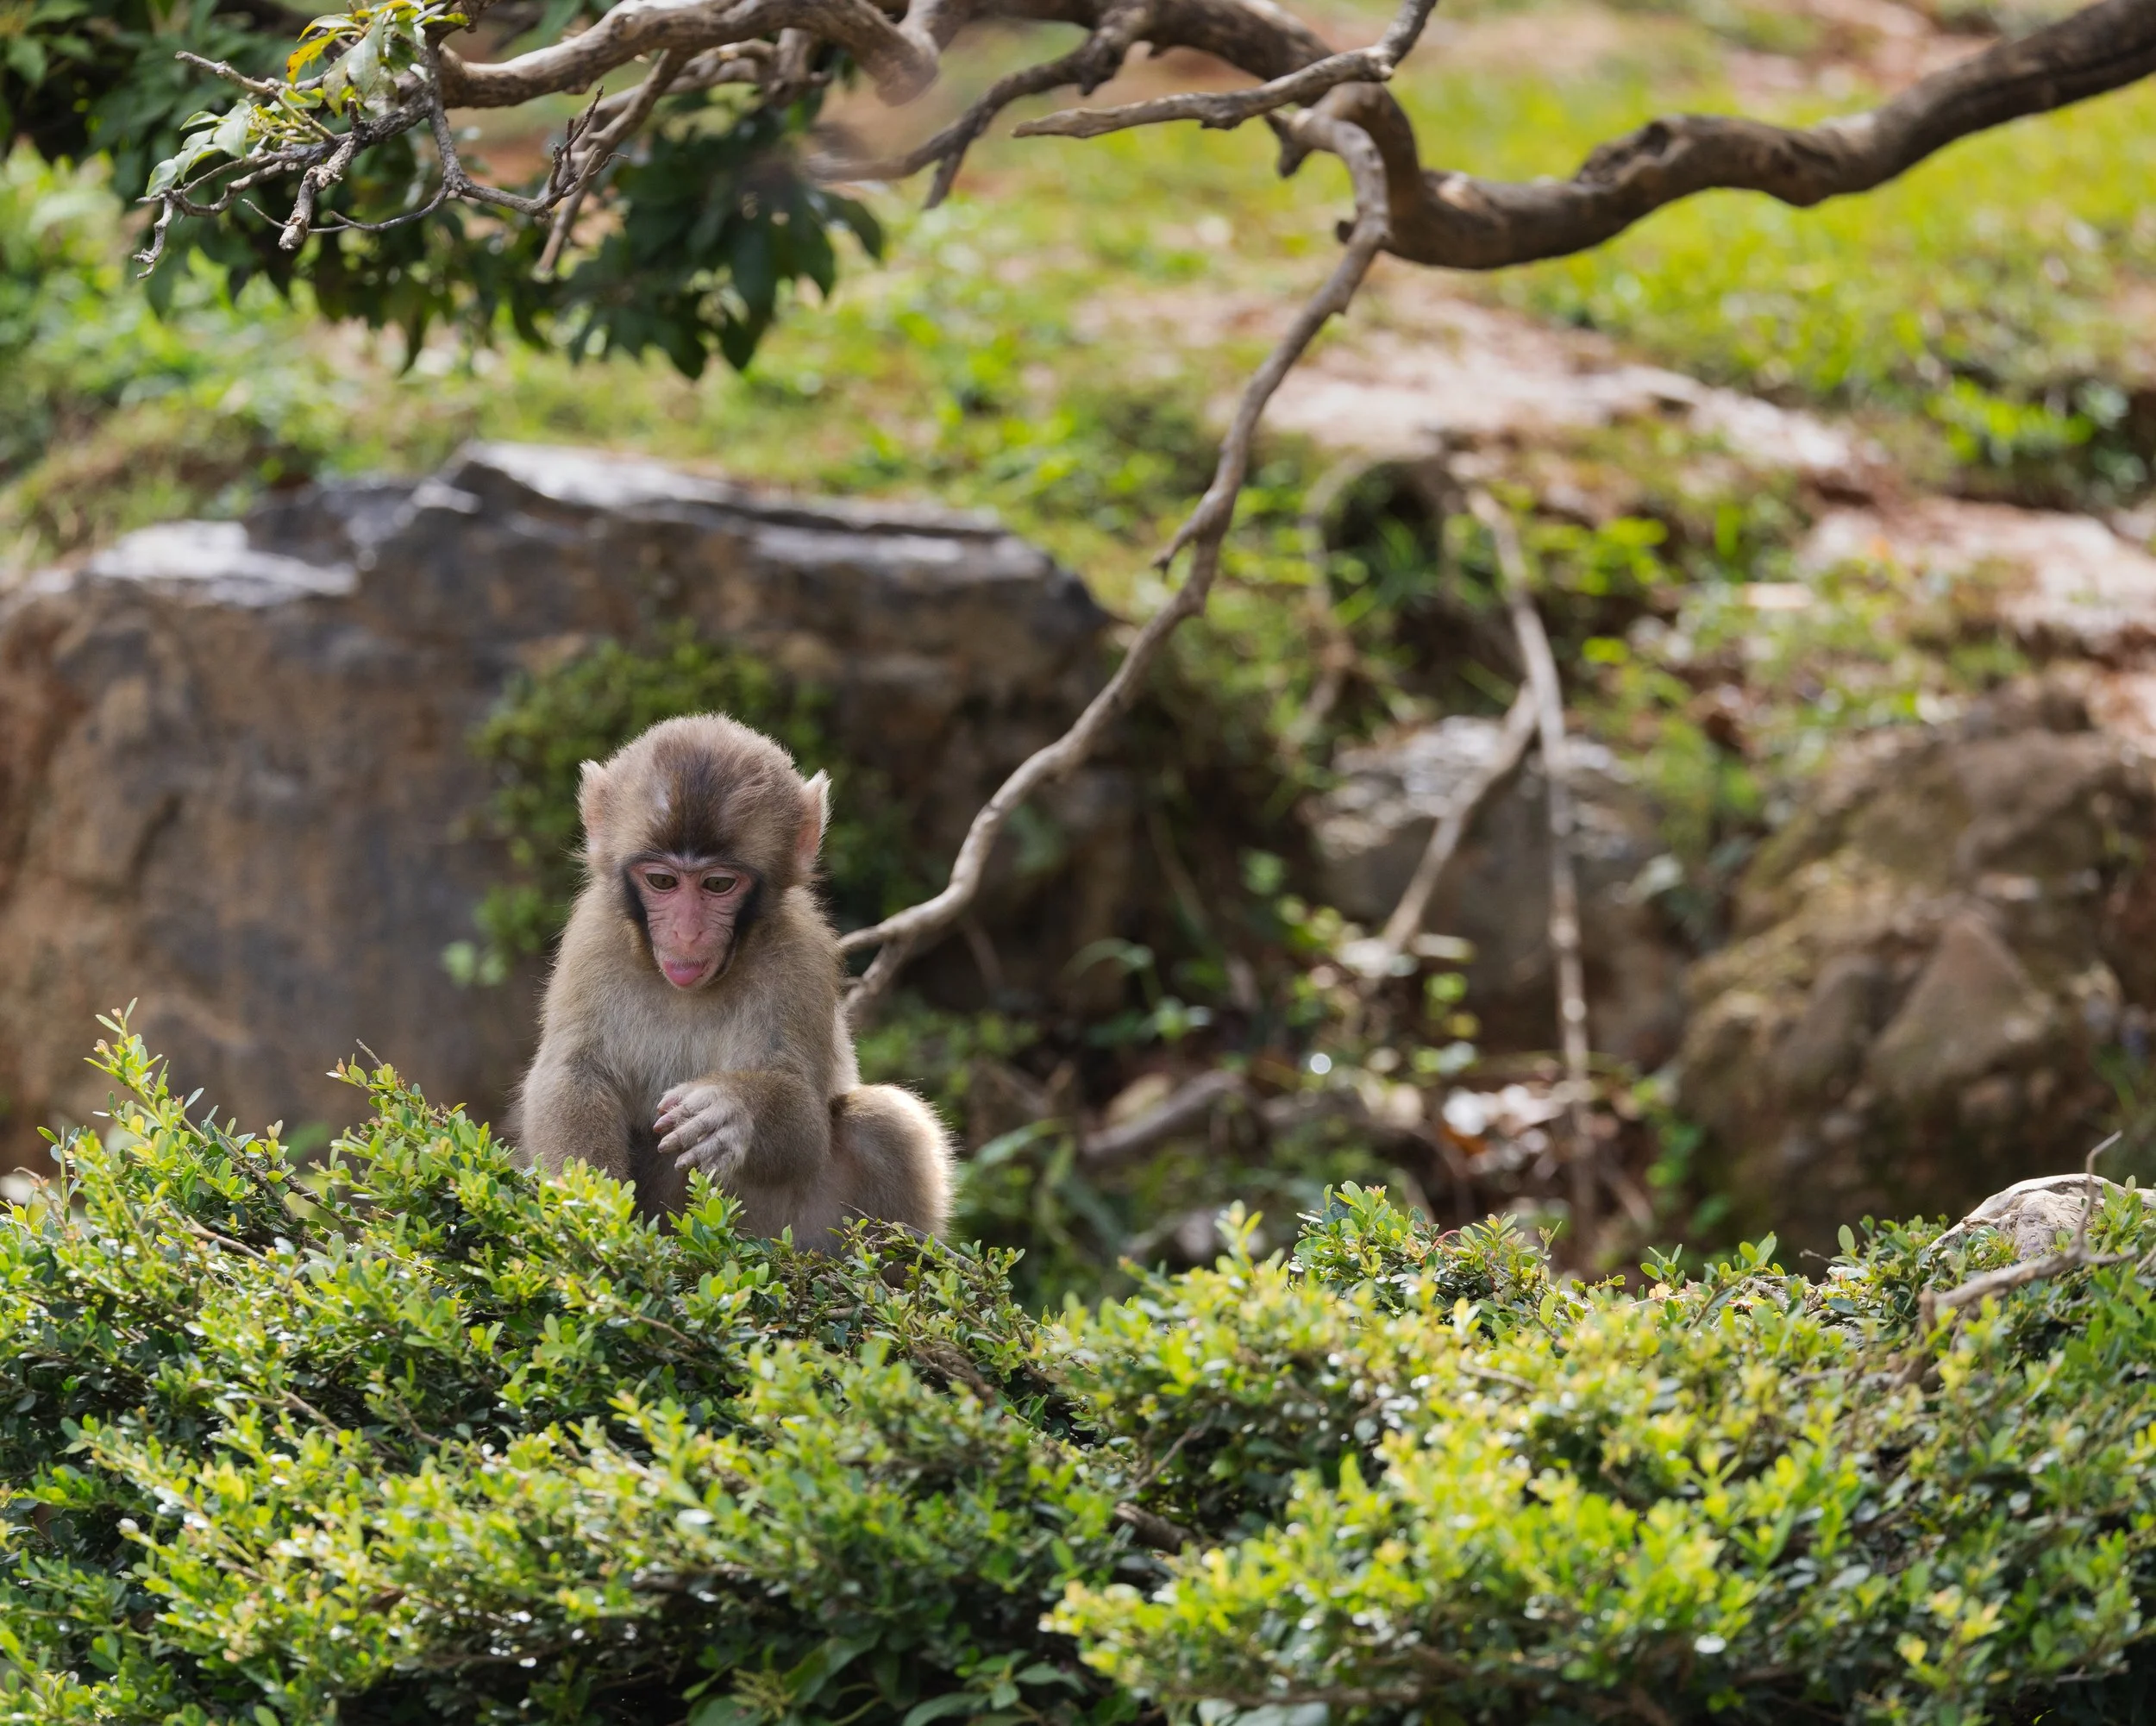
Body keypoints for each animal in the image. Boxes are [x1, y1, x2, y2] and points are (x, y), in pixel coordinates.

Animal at [511, 713, 953, 1247]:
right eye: (662, 881)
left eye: (718, 884)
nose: (687, 932)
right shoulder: (594, 936)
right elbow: (571, 1073)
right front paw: (592, 1207)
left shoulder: (799, 953)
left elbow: (805, 1116)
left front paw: (734, 1110)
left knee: (885, 1121)